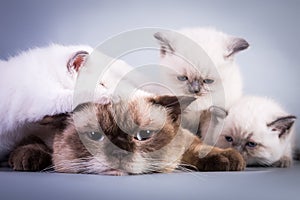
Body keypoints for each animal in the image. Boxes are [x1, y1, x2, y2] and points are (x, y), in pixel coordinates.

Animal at [8, 94, 246, 174]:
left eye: (144, 135)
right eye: (94, 135)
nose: (120, 152)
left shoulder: (188, 140)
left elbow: (198, 149)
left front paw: (228, 158)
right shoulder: (34, 132)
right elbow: (33, 144)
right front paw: (28, 159)